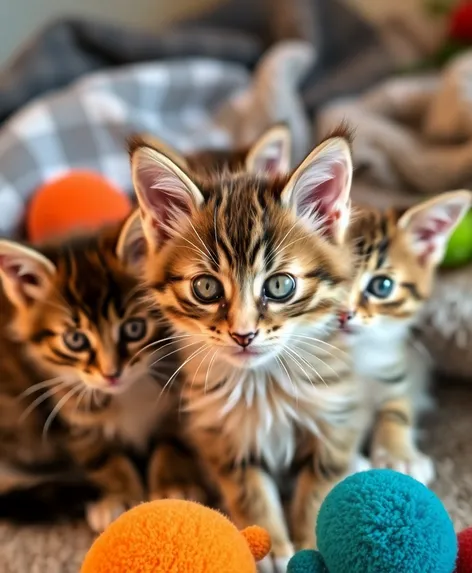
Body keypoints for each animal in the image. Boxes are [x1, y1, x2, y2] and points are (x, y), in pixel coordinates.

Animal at [0, 213, 199, 532]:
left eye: (134, 328)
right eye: (75, 339)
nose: (111, 374)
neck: (126, 393)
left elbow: (173, 442)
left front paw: (173, 486)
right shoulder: (70, 409)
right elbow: (101, 457)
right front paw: (117, 496)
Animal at [128, 125, 366, 568]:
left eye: (280, 285)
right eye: (206, 288)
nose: (243, 334)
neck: (263, 383)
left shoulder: (334, 415)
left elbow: (318, 487)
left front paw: (307, 543)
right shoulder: (219, 432)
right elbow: (248, 488)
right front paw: (269, 547)